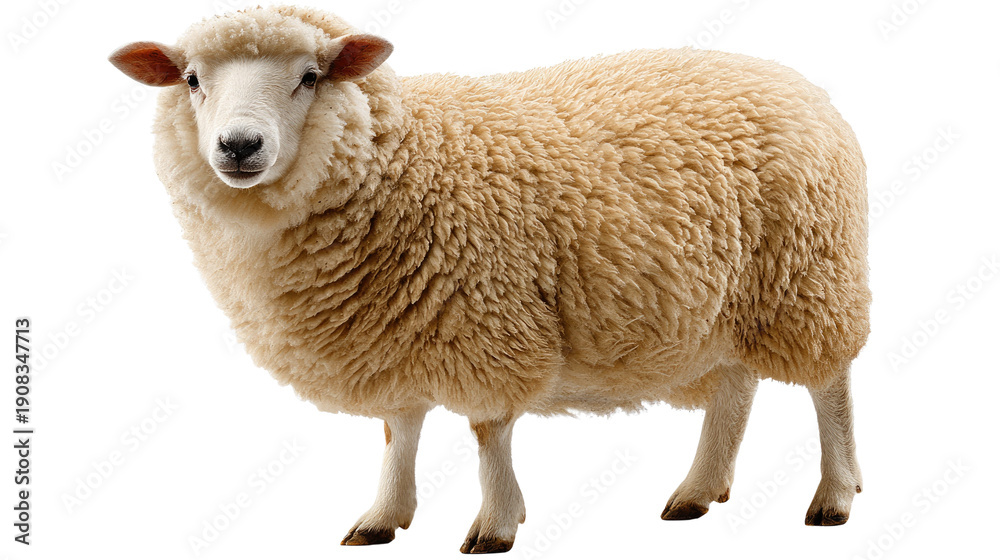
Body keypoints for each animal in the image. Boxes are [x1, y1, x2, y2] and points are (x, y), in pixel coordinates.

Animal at [109, 5, 870, 553]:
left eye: (310, 76)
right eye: (191, 79)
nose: (239, 146)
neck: (405, 159)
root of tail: (802, 86)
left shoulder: (486, 318)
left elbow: (487, 434)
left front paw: (496, 524)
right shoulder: (390, 328)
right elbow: (398, 429)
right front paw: (383, 516)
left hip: (810, 275)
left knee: (828, 386)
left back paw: (833, 497)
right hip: (736, 299)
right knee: (736, 388)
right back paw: (698, 490)